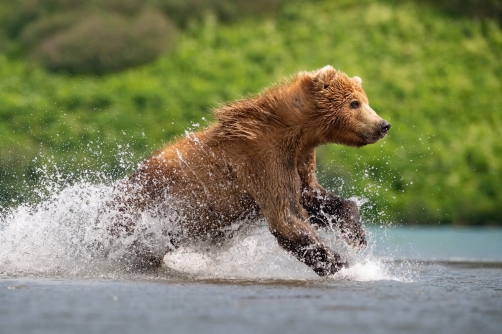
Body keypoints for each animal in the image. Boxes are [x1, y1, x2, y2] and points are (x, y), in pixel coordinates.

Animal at [104, 66, 390, 276]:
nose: (383, 124)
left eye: (364, 100)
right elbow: (287, 218)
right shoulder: (263, 159)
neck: (295, 131)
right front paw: (350, 267)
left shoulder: (299, 160)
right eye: (354, 103)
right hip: (141, 209)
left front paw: (356, 235)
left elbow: (312, 196)